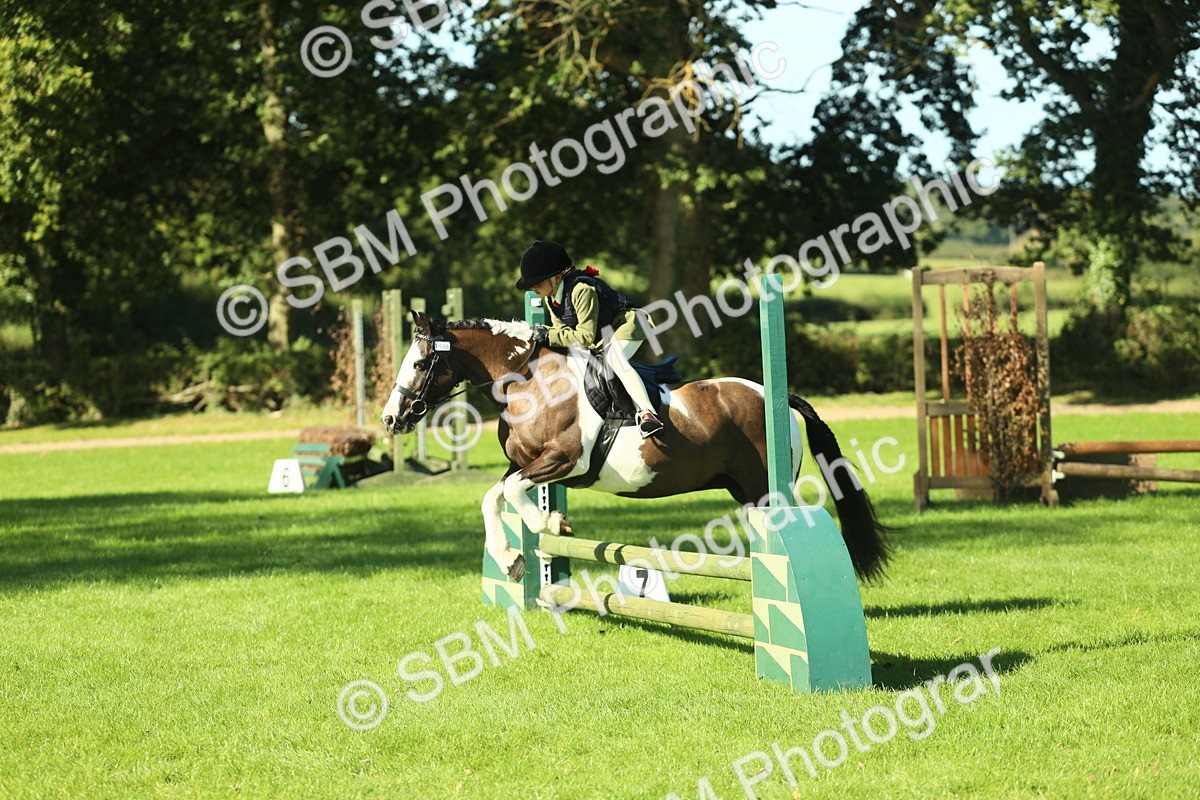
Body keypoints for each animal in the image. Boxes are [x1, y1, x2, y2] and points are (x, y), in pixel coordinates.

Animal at [381, 312, 890, 585]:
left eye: (421, 363)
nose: (390, 419)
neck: (530, 383)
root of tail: (776, 396)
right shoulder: (524, 465)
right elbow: (494, 496)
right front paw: (513, 559)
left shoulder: (564, 461)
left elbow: (509, 495)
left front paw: (548, 523)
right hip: (744, 491)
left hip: (765, 489)